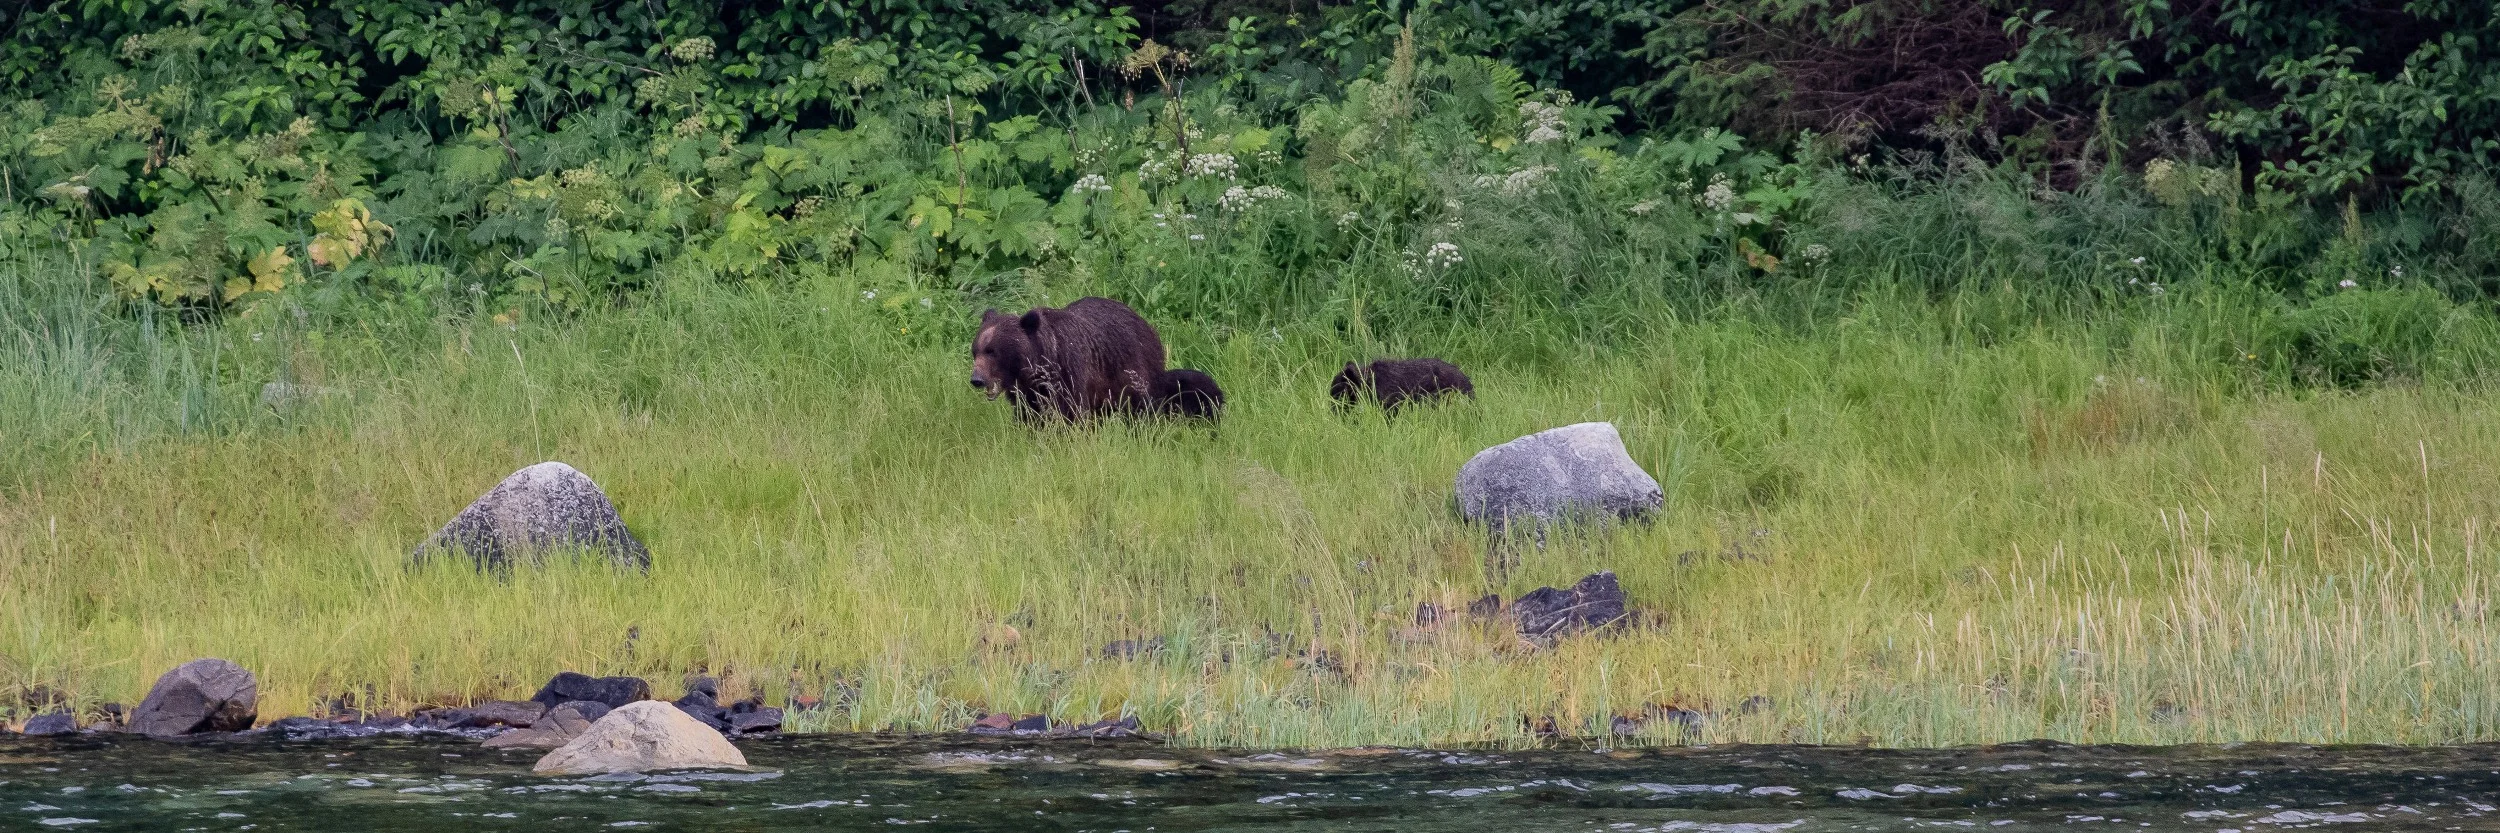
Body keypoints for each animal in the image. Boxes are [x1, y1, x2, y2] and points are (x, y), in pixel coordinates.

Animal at [971, 297, 1167, 423]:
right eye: (975, 351)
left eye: (992, 351)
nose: (976, 379)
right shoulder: (1028, 393)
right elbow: (1030, 416)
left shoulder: (1068, 372)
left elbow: (1072, 412)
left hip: (1134, 368)